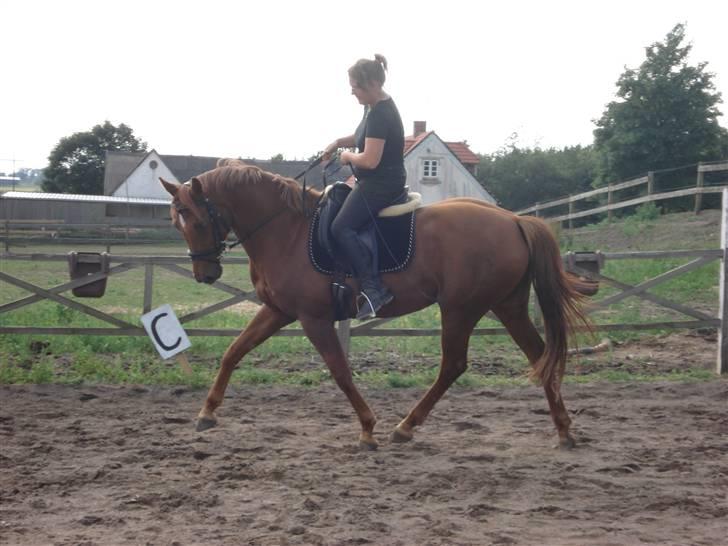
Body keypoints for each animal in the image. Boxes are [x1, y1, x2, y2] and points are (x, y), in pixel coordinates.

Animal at [161, 157, 592, 446]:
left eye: (195, 220)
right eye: (175, 223)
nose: (205, 274)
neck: (288, 230)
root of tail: (514, 220)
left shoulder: (313, 318)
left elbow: (340, 371)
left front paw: (368, 427)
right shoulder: (279, 311)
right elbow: (233, 352)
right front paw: (207, 412)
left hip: (461, 309)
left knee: (453, 365)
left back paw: (406, 426)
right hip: (507, 305)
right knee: (540, 354)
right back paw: (563, 429)